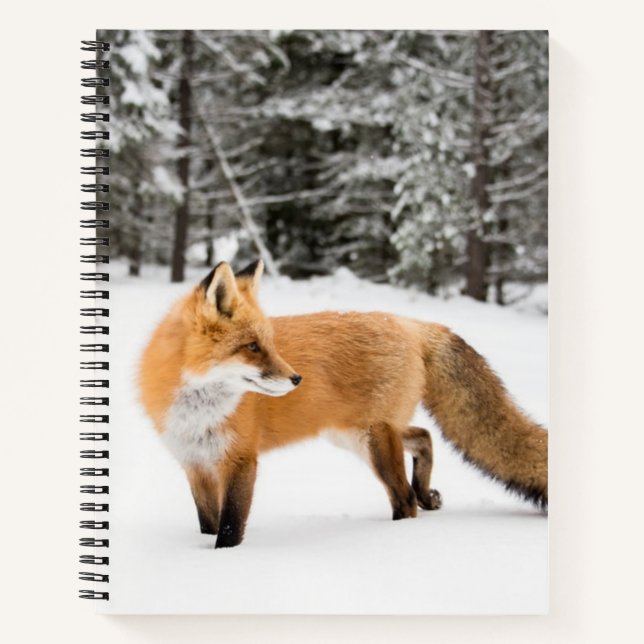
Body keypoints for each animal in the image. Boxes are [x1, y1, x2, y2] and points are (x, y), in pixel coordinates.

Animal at [139, 259, 548, 549]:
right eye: (252, 347)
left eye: (269, 343)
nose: (297, 379)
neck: (198, 412)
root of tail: (409, 322)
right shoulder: (195, 464)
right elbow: (207, 524)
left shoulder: (240, 460)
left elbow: (229, 528)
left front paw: (223, 561)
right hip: (355, 434)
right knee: (424, 436)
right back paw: (426, 493)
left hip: (374, 440)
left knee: (404, 498)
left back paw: (402, 530)